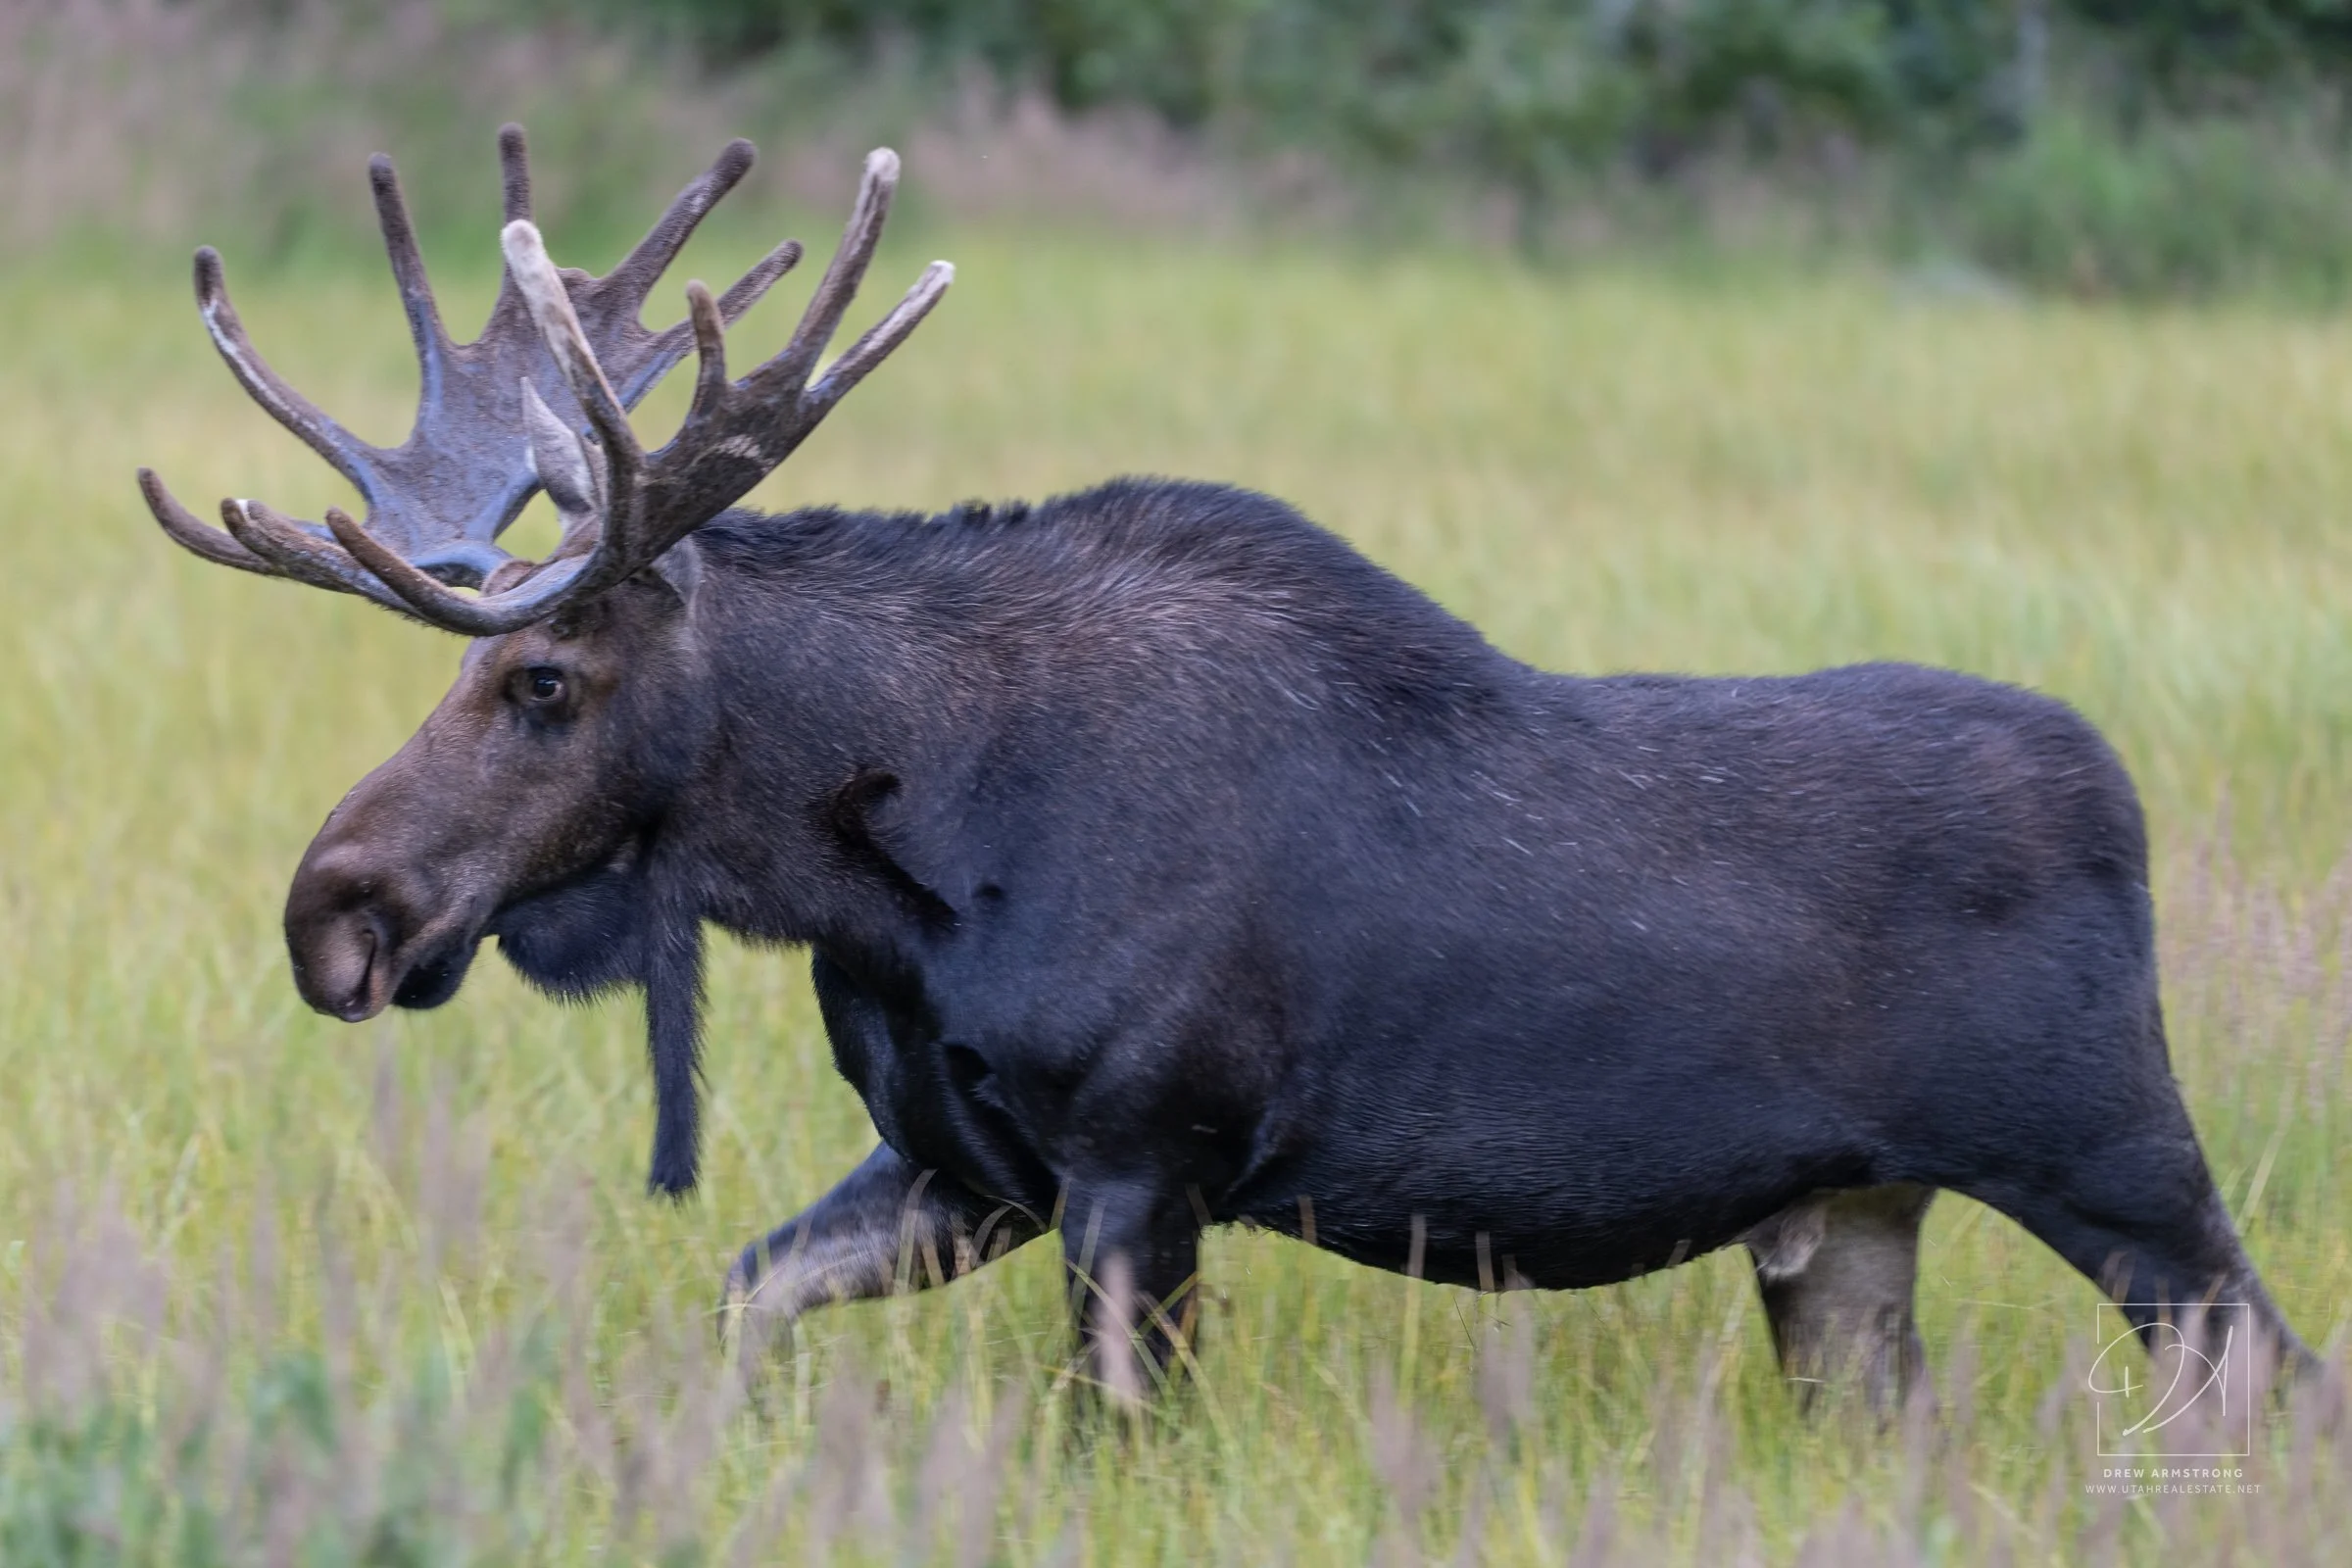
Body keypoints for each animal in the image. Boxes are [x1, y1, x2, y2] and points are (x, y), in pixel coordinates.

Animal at [141, 126, 2311, 1405]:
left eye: (547, 677)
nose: (333, 909)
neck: (888, 868)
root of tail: (2123, 799)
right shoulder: (963, 1166)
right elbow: (744, 1304)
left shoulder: (1138, 1159)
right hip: (1852, 1222)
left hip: (2125, 1171)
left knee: (2280, 1380)